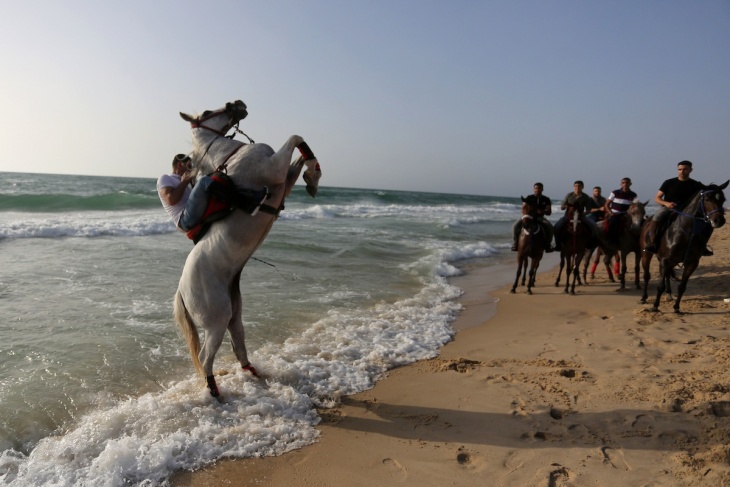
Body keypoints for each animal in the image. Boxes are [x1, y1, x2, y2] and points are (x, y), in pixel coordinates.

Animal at [172, 101, 320, 398]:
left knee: (237, 345)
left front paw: (312, 176)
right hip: (217, 320)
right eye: (207, 112)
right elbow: (295, 137)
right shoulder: (274, 169)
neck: (230, 156)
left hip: (234, 314)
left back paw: (254, 374)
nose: (238, 104)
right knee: (206, 357)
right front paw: (314, 173)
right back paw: (214, 391)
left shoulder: (284, 179)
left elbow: (298, 154)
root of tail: (182, 290)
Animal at [640, 181, 724, 314]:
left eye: (723, 199)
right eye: (707, 199)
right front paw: (655, 307)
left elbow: (682, 286)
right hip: (646, 254)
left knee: (667, 275)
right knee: (647, 275)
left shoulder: (691, 263)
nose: (719, 220)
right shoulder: (665, 260)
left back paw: (669, 294)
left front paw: (676, 308)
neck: (687, 233)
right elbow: (660, 285)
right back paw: (644, 297)